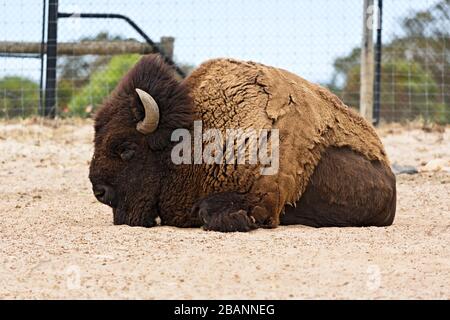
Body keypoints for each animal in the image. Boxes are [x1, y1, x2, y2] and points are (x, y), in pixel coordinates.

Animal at [89, 53, 398, 231]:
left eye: (126, 148)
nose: (99, 191)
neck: (194, 135)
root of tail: (390, 175)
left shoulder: (259, 196)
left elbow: (210, 211)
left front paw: (242, 222)